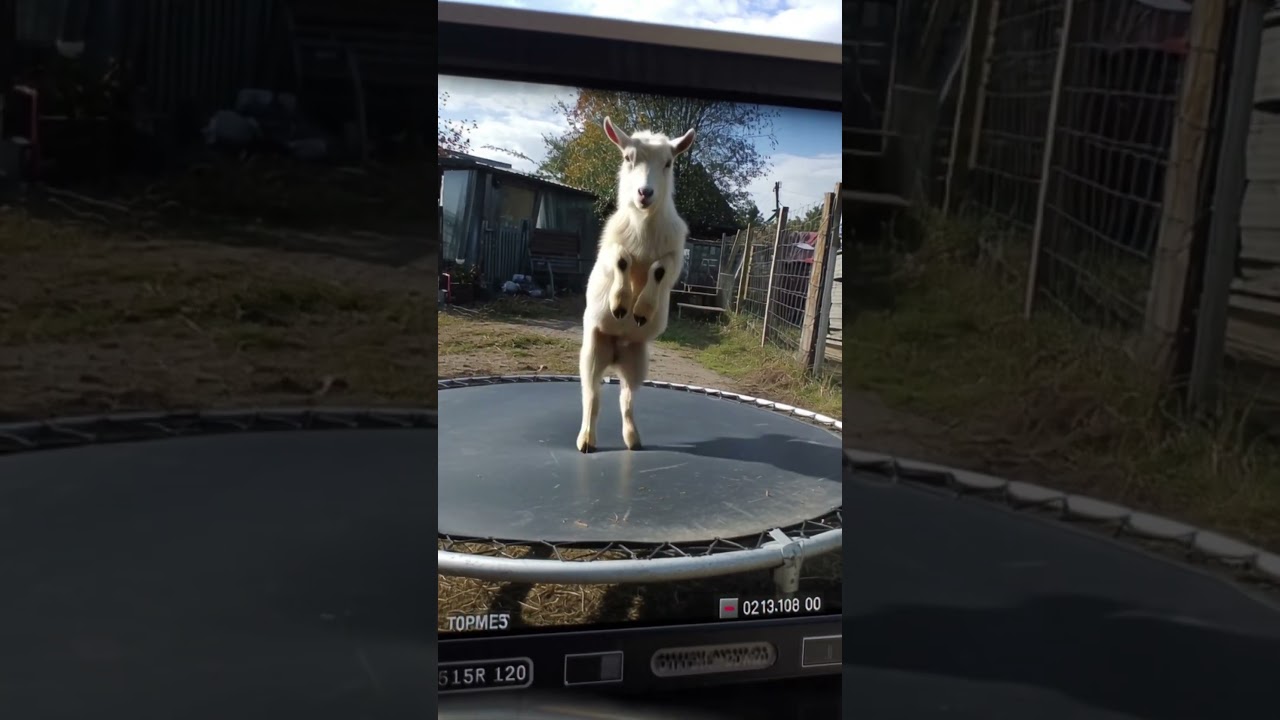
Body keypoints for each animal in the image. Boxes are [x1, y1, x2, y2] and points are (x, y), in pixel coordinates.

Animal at [576, 117, 696, 453]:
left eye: (668, 163)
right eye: (628, 158)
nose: (645, 193)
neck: (643, 228)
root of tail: (615, 353)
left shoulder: (675, 259)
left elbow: (659, 269)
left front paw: (641, 310)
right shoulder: (608, 250)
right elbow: (621, 259)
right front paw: (620, 304)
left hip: (638, 361)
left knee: (626, 398)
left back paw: (633, 439)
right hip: (592, 351)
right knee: (592, 396)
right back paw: (586, 440)